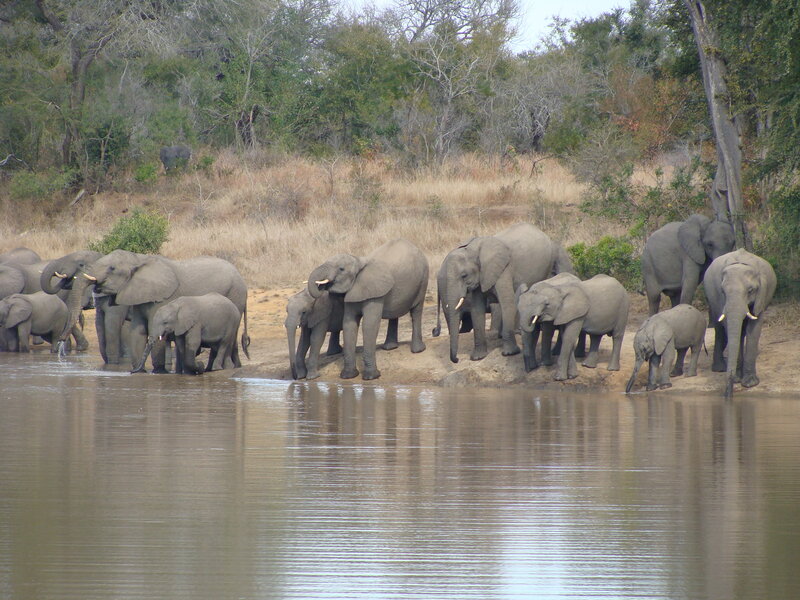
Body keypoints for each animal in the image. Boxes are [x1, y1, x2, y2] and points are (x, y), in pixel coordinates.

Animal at [84, 250, 250, 373]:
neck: (139, 259)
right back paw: (229, 367)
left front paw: (158, 372)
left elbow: (154, 331)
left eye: (112, 268)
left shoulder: (162, 298)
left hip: (235, 295)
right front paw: (140, 372)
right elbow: (138, 332)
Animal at [307, 238, 428, 381]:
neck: (358, 260)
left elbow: (369, 325)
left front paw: (371, 377)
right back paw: (389, 347)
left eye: (341, 269)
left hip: (423, 279)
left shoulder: (374, 292)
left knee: (416, 310)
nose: (321, 286)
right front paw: (348, 376)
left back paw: (418, 350)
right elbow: (349, 325)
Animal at [438, 222, 569, 364]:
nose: (456, 360)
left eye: (464, 275)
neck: (474, 250)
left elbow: (507, 303)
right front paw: (478, 357)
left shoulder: (503, 270)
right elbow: (477, 309)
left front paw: (509, 353)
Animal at [703, 248, 776, 398]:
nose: (728, 394)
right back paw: (721, 369)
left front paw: (750, 383)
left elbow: (754, 328)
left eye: (750, 291)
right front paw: (737, 379)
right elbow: (730, 327)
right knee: (721, 330)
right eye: (723, 291)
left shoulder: (761, 296)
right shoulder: (721, 300)